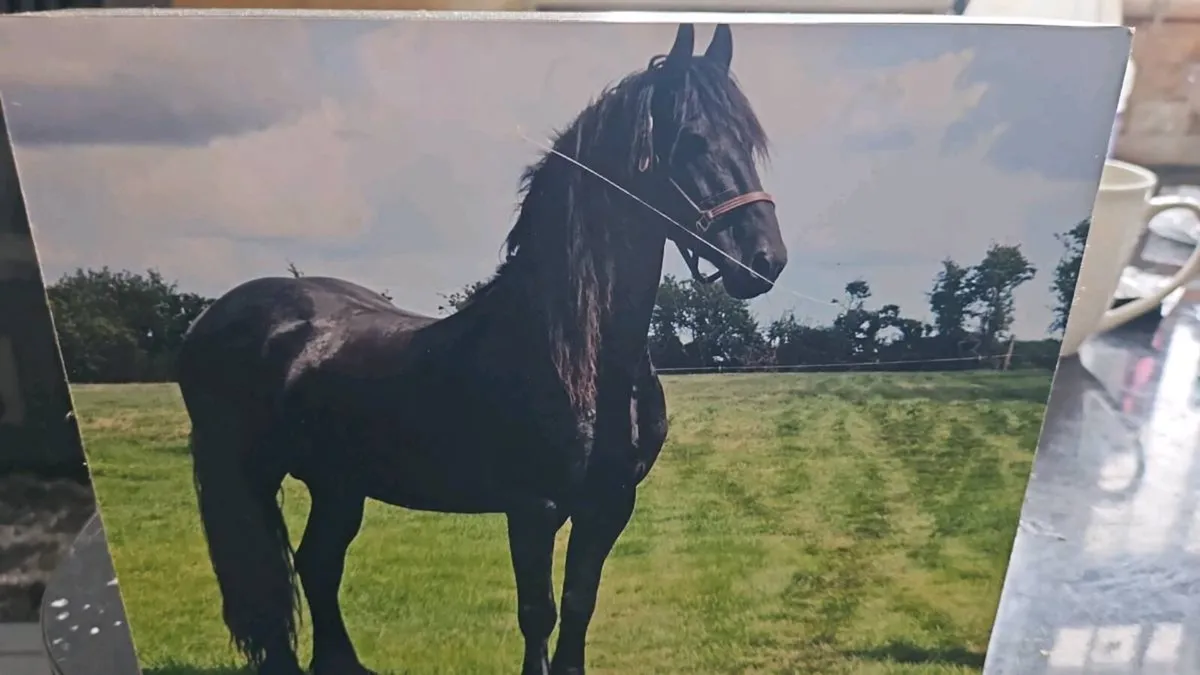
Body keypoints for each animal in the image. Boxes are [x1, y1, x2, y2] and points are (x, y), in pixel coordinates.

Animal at [177, 23, 786, 675]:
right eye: (692, 141)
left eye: (749, 143)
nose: (765, 261)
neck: (585, 358)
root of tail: (212, 319)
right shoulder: (534, 509)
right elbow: (538, 614)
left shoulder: (609, 506)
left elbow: (579, 605)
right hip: (251, 476)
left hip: (337, 482)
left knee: (318, 565)